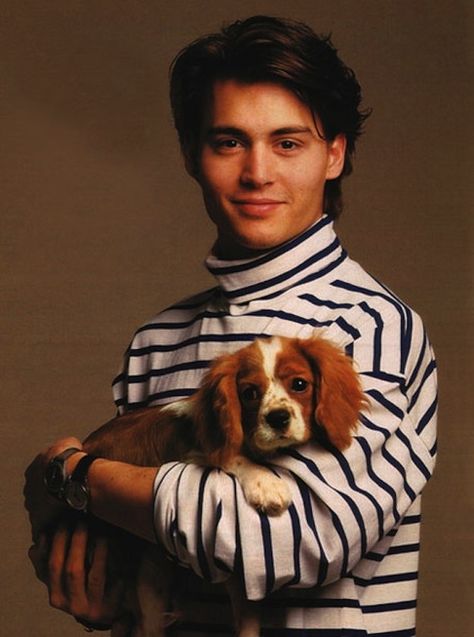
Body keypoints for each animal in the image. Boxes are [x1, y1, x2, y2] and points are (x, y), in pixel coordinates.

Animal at [80, 336, 366, 632]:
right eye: (249, 393)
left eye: (299, 384)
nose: (277, 418)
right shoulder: (189, 453)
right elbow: (233, 457)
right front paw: (266, 484)